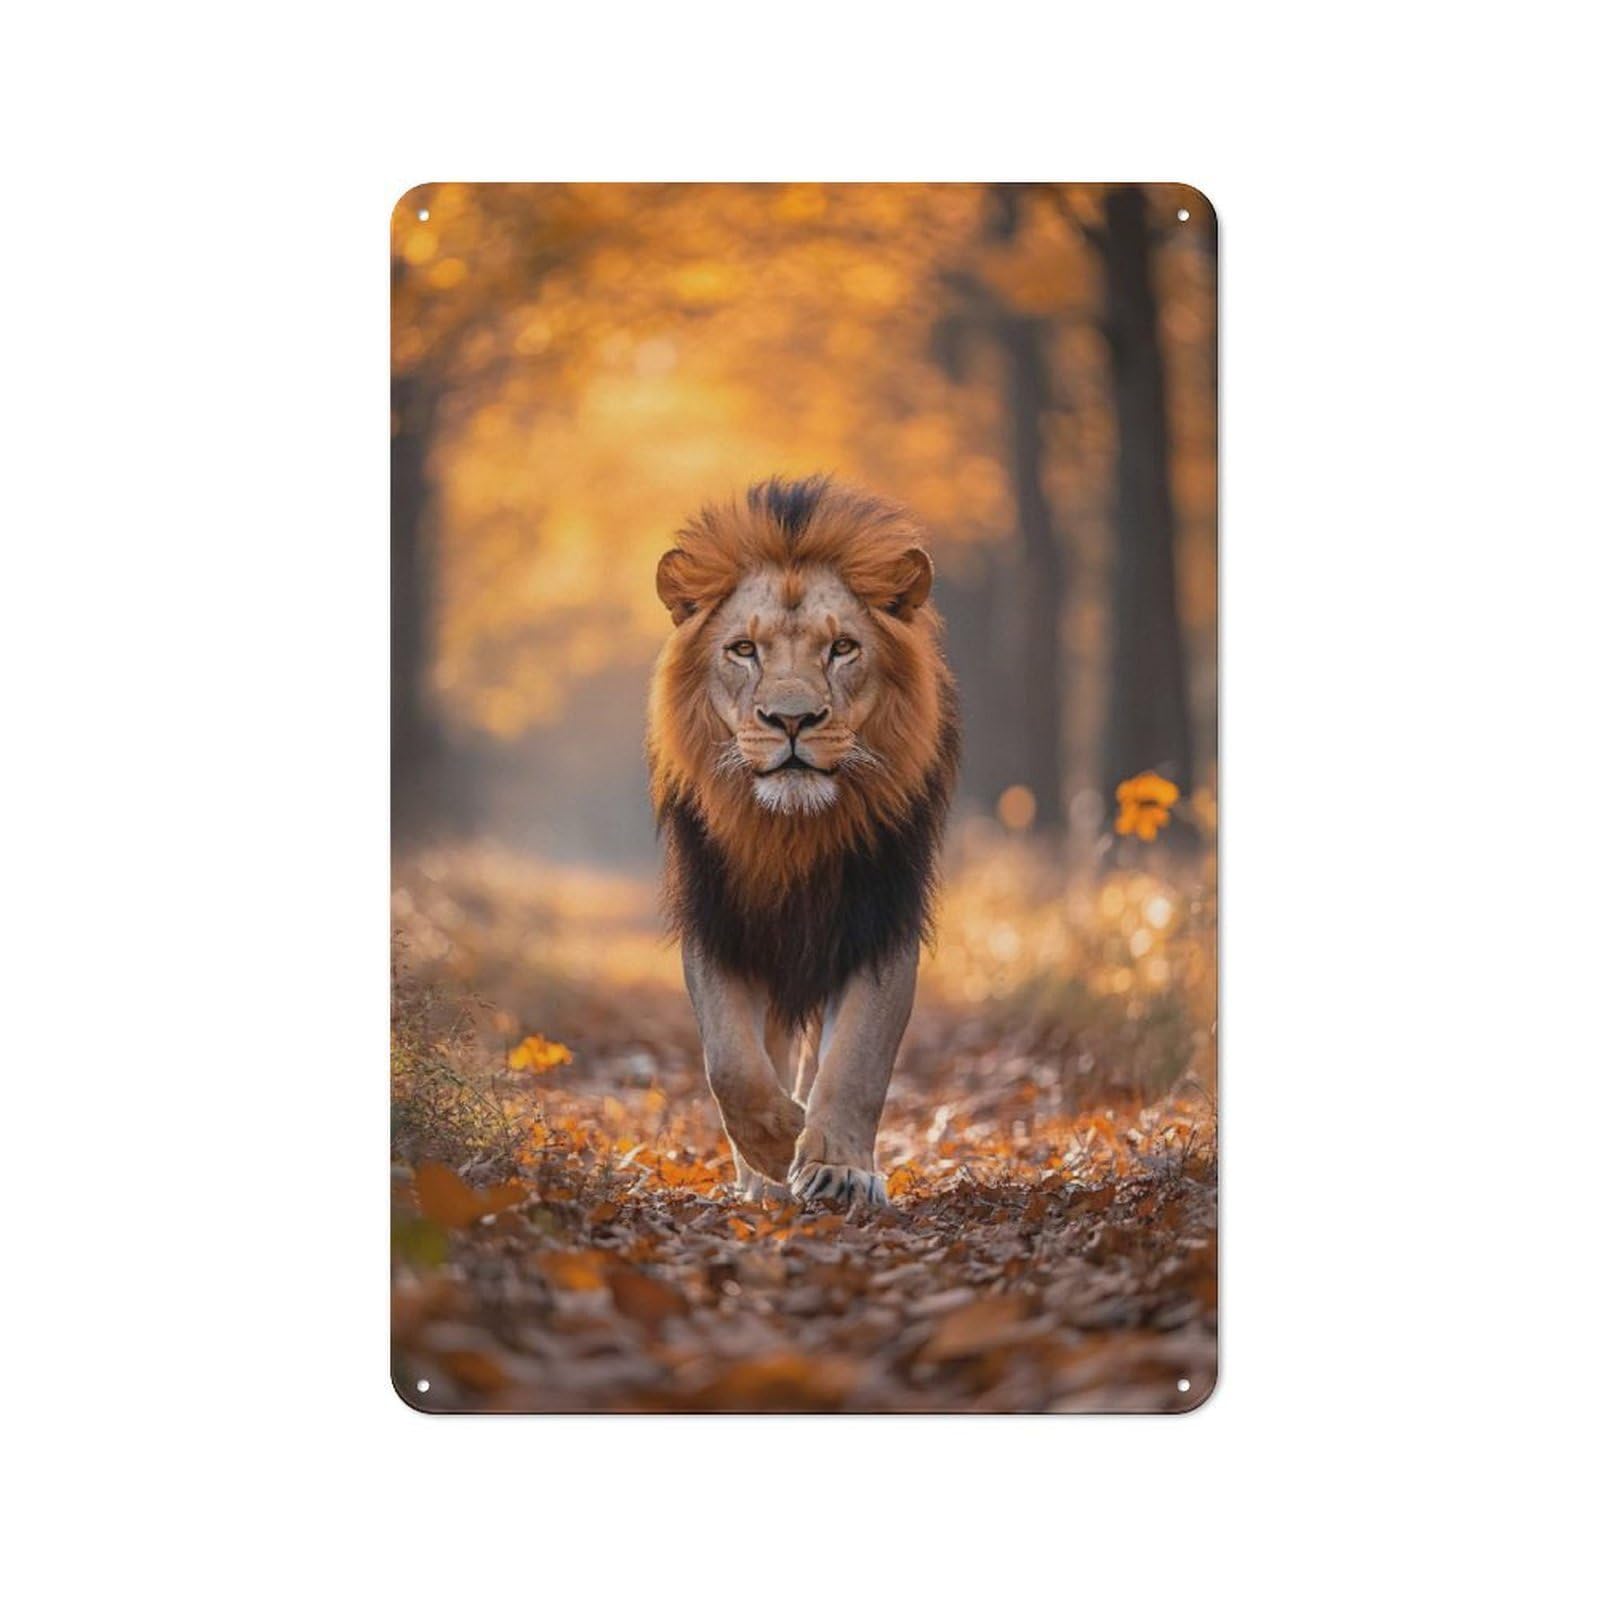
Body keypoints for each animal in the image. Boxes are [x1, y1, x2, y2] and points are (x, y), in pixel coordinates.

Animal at [648, 476, 959, 1208]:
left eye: (842, 648)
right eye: (743, 650)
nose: (791, 720)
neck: (791, 832)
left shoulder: (879, 923)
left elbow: (855, 1062)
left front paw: (835, 1165)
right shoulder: (719, 922)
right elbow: (731, 1065)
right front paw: (778, 1145)